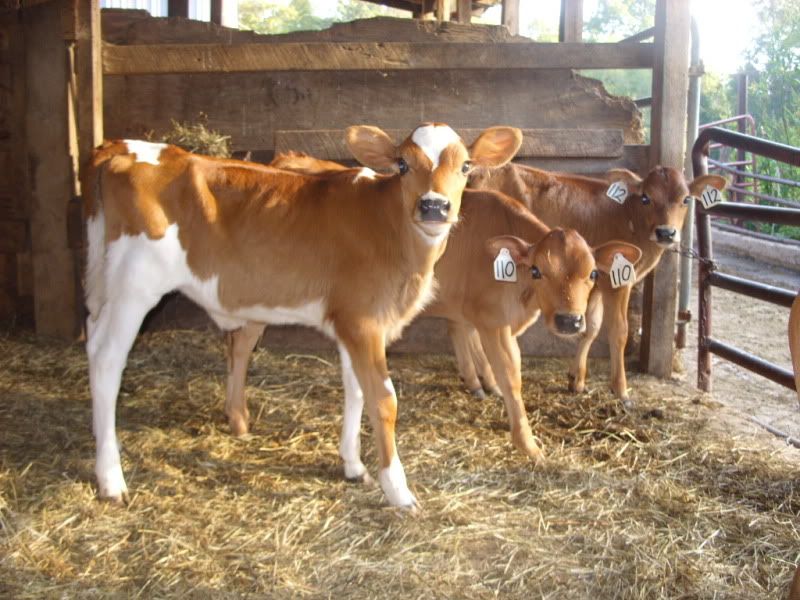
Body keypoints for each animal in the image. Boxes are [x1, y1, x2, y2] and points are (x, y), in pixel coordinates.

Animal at [81, 123, 523, 508]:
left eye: (466, 167)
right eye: (402, 164)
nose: (434, 206)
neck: (392, 230)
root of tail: (122, 147)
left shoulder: (351, 322)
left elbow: (356, 391)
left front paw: (353, 465)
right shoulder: (364, 321)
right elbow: (384, 399)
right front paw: (398, 491)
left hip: (107, 284)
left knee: (93, 334)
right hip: (134, 287)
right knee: (106, 359)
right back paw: (111, 480)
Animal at [258, 152, 641, 460]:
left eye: (593, 273)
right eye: (537, 270)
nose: (568, 321)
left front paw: (483, 386)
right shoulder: (491, 320)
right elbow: (511, 375)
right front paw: (527, 443)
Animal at [468, 163, 727, 403]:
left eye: (686, 199)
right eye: (646, 197)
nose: (666, 233)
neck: (629, 217)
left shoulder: (595, 283)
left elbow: (591, 327)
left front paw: (577, 379)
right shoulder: (617, 282)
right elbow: (618, 331)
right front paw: (621, 390)